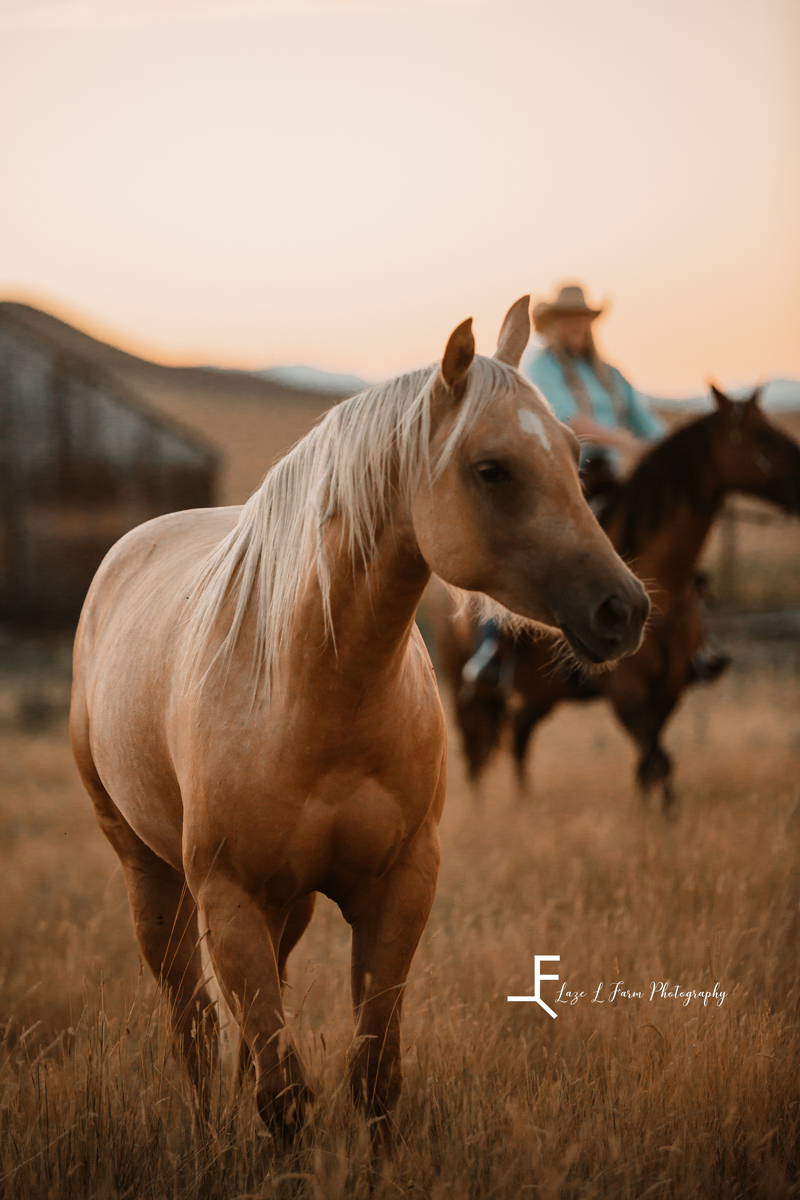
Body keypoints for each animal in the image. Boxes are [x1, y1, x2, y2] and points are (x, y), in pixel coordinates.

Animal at [70, 295, 652, 1147]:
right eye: (491, 469)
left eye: (576, 455)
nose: (624, 609)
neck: (317, 693)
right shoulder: (229, 899)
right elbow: (282, 1093)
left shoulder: (398, 887)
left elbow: (372, 1075)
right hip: (150, 875)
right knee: (194, 1024)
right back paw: (209, 1141)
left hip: (290, 902)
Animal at [434, 384, 800, 816]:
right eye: (763, 435)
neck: (662, 580)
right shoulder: (626, 692)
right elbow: (658, 760)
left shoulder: (670, 689)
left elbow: (651, 765)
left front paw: (654, 819)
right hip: (468, 686)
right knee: (475, 751)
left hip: (541, 693)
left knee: (518, 736)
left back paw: (526, 803)